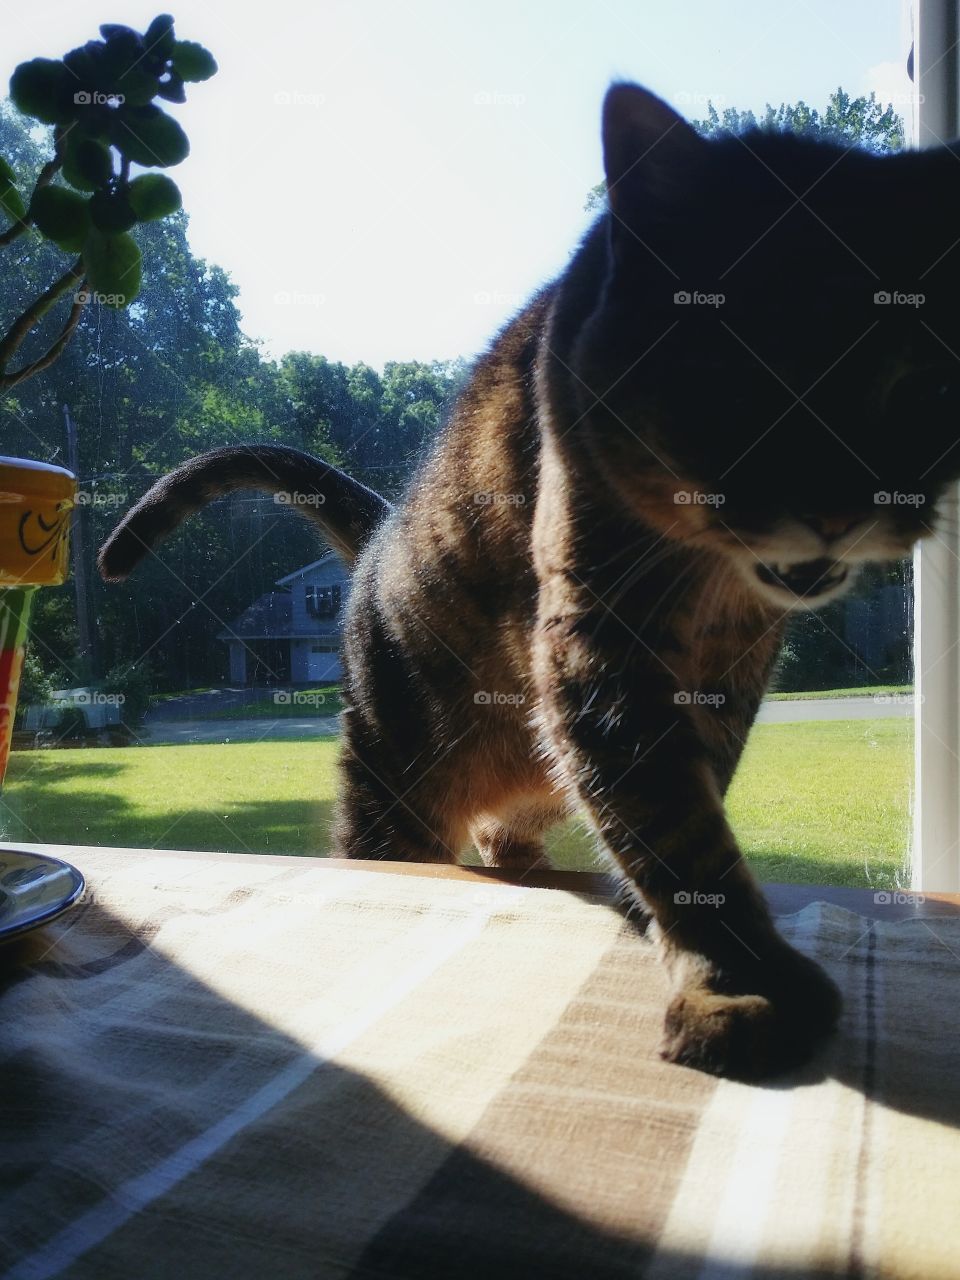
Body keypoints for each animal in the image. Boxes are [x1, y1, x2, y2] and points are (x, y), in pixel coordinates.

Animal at [99, 85, 960, 1075]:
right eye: (742, 383)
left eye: (916, 391)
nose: (838, 511)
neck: (712, 578)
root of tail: (380, 533)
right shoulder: (598, 640)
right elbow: (679, 829)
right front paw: (737, 984)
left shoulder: (730, 667)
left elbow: (689, 799)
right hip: (393, 785)